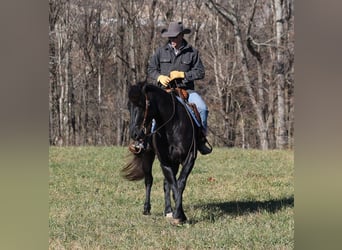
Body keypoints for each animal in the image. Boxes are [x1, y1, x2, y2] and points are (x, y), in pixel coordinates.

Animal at [121, 82, 202, 225]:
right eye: (129, 106)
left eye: (142, 104)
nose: (134, 134)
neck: (172, 127)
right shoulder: (165, 162)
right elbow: (174, 185)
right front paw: (179, 215)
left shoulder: (189, 160)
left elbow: (179, 184)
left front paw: (178, 214)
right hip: (147, 155)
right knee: (149, 180)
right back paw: (147, 209)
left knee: (166, 184)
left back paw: (168, 210)